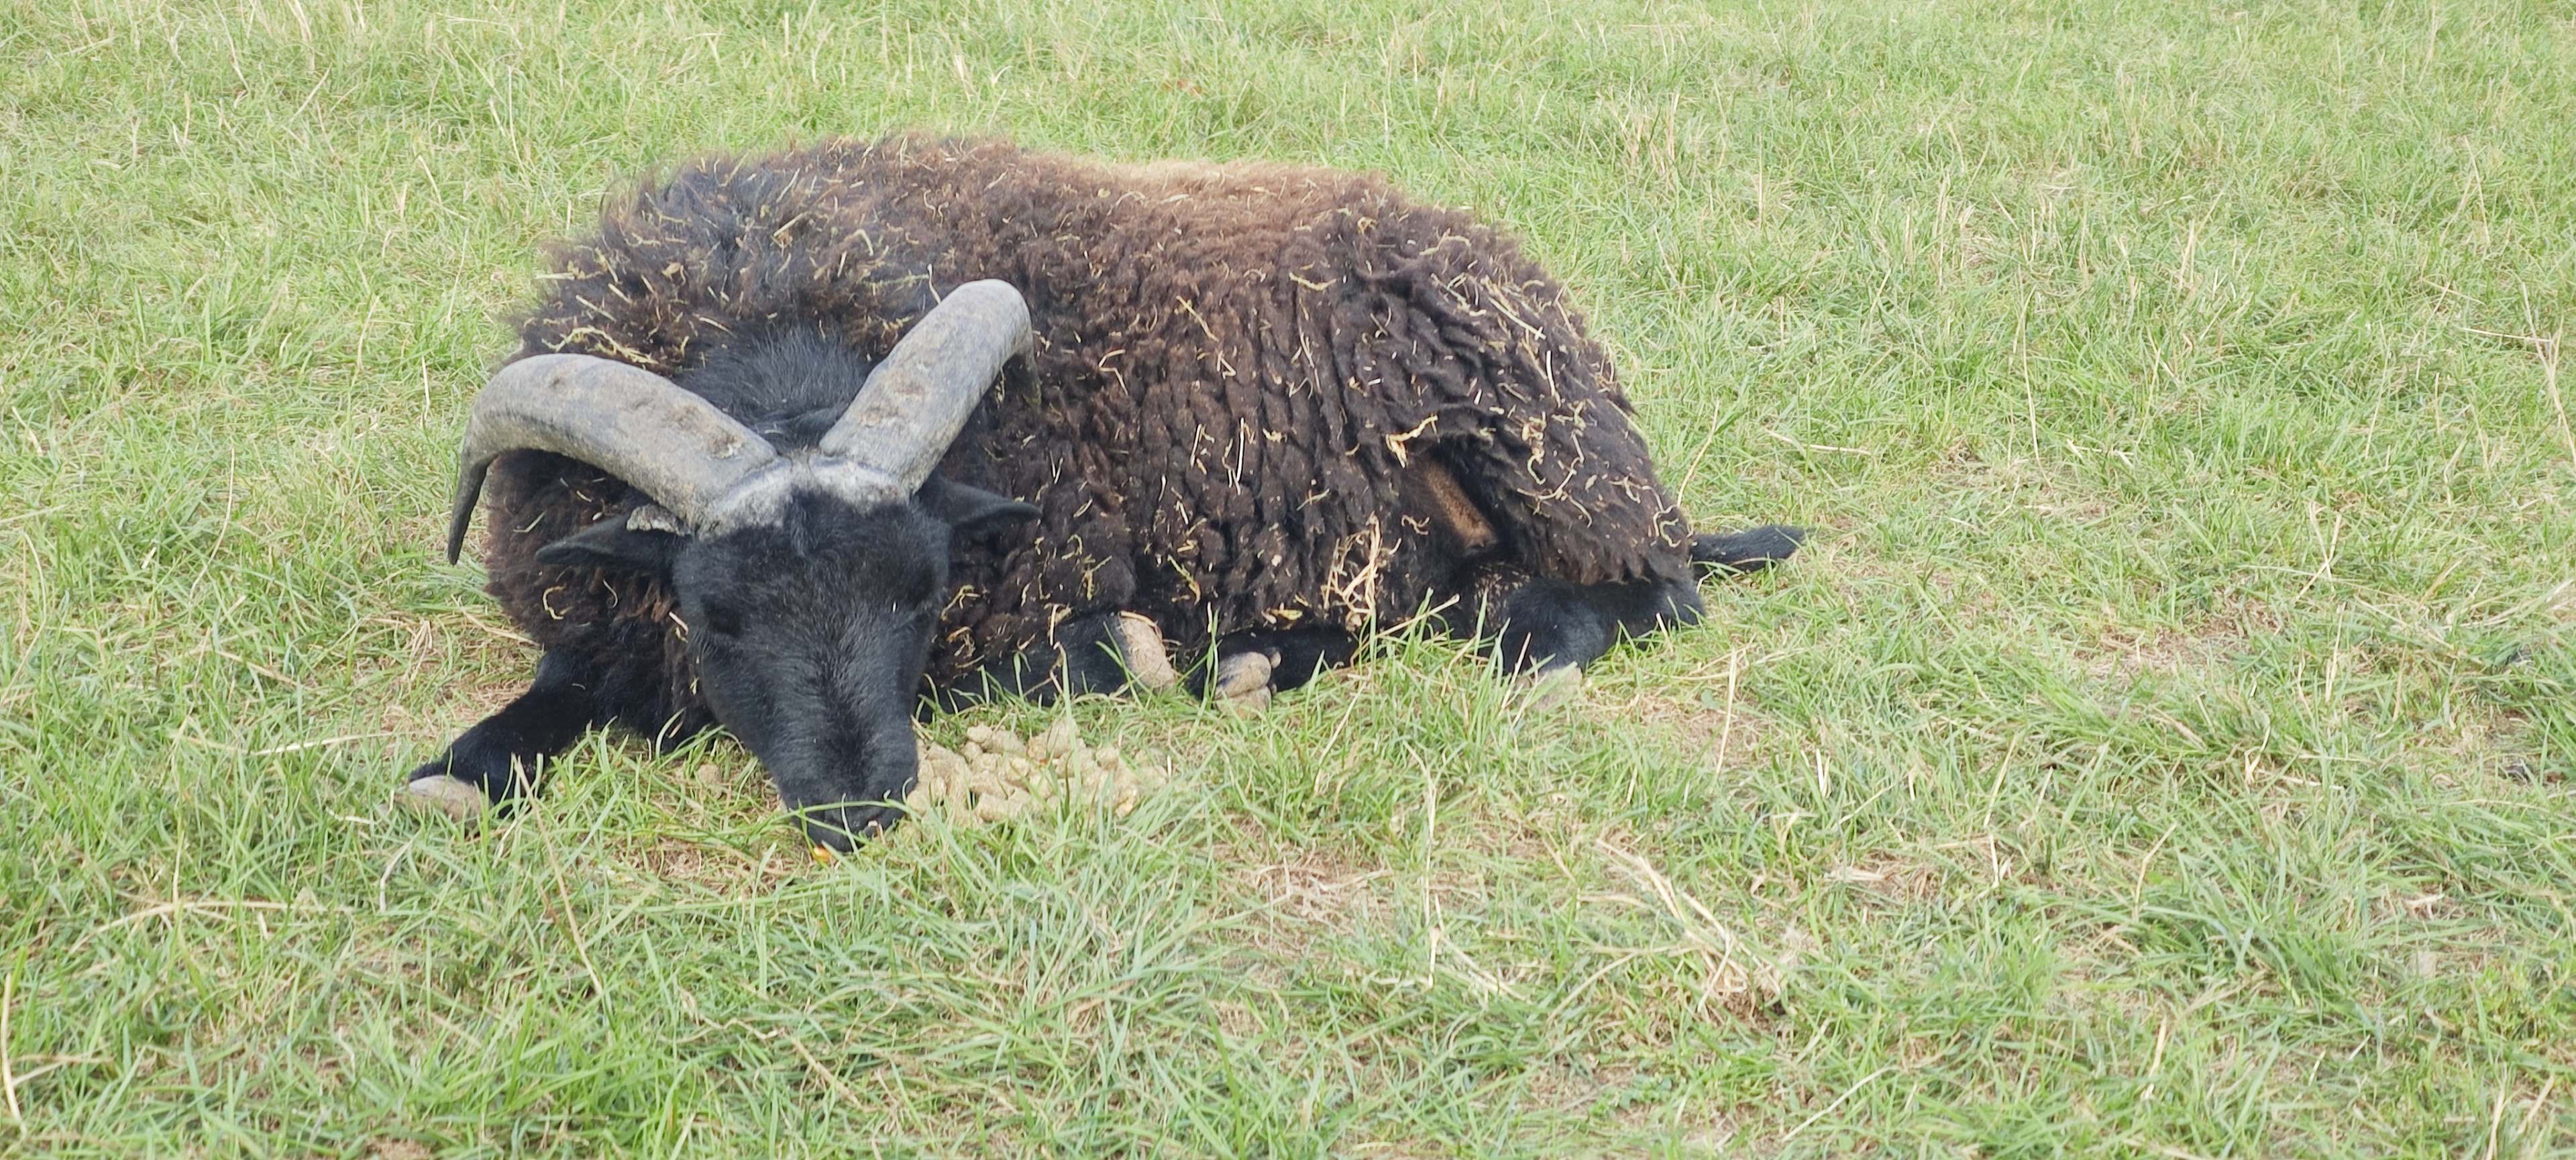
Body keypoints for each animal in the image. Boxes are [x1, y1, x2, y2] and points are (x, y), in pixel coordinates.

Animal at [407, 133, 1813, 850]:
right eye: (718, 611)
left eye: (921, 590)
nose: (862, 809)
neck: (782, 302)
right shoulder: (606, 622)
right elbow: (545, 696)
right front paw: (458, 770)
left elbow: (1073, 657)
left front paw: (1137, 653)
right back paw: (1263, 655)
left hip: (1541, 452)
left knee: (1643, 595)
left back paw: (1513, 651)